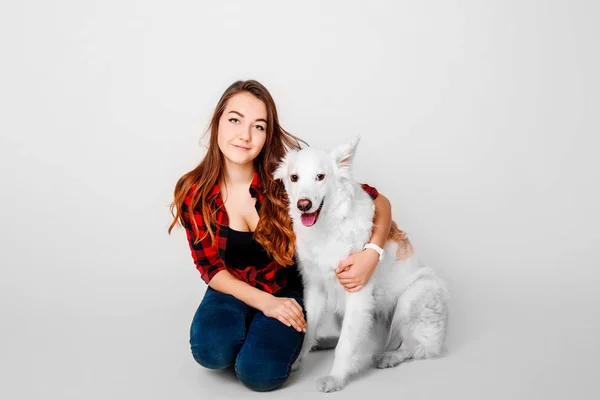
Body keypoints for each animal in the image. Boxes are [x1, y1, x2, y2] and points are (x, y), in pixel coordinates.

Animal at [274, 136, 448, 392]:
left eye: (320, 176)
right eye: (294, 177)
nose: (303, 204)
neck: (328, 226)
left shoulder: (358, 292)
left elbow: (346, 345)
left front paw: (335, 378)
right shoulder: (315, 288)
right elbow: (309, 330)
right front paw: (296, 361)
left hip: (416, 294)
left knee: (415, 347)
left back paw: (390, 356)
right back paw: (326, 341)